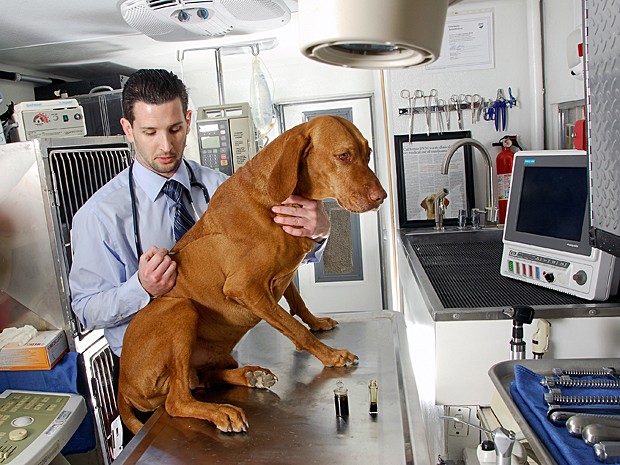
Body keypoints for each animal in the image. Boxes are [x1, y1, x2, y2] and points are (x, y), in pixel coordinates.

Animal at [117, 114, 388, 434]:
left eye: (368, 154)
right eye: (343, 156)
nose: (381, 197)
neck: (274, 198)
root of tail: (122, 385)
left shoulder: (282, 275)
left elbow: (298, 302)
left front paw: (317, 322)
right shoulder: (246, 288)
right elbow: (293, 327)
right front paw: (331, 355)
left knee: (205, 379)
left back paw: (250, 376)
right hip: (179, 309)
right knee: (176, 400)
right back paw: (221, 411)